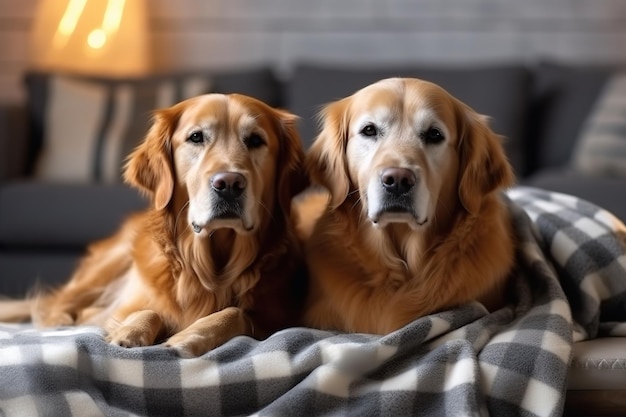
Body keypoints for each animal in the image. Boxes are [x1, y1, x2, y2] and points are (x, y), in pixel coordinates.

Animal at [0, 92, 308, 356]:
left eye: (256, 140)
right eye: (196, 137)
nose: (229, 184)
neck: (208, 266)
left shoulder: (275, 318)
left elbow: (237, 312)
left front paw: (191, 335)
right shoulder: (122, 306)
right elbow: (149, 310)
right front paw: (130, 333)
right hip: (107, 265)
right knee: (58, 303)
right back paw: (60, 319)